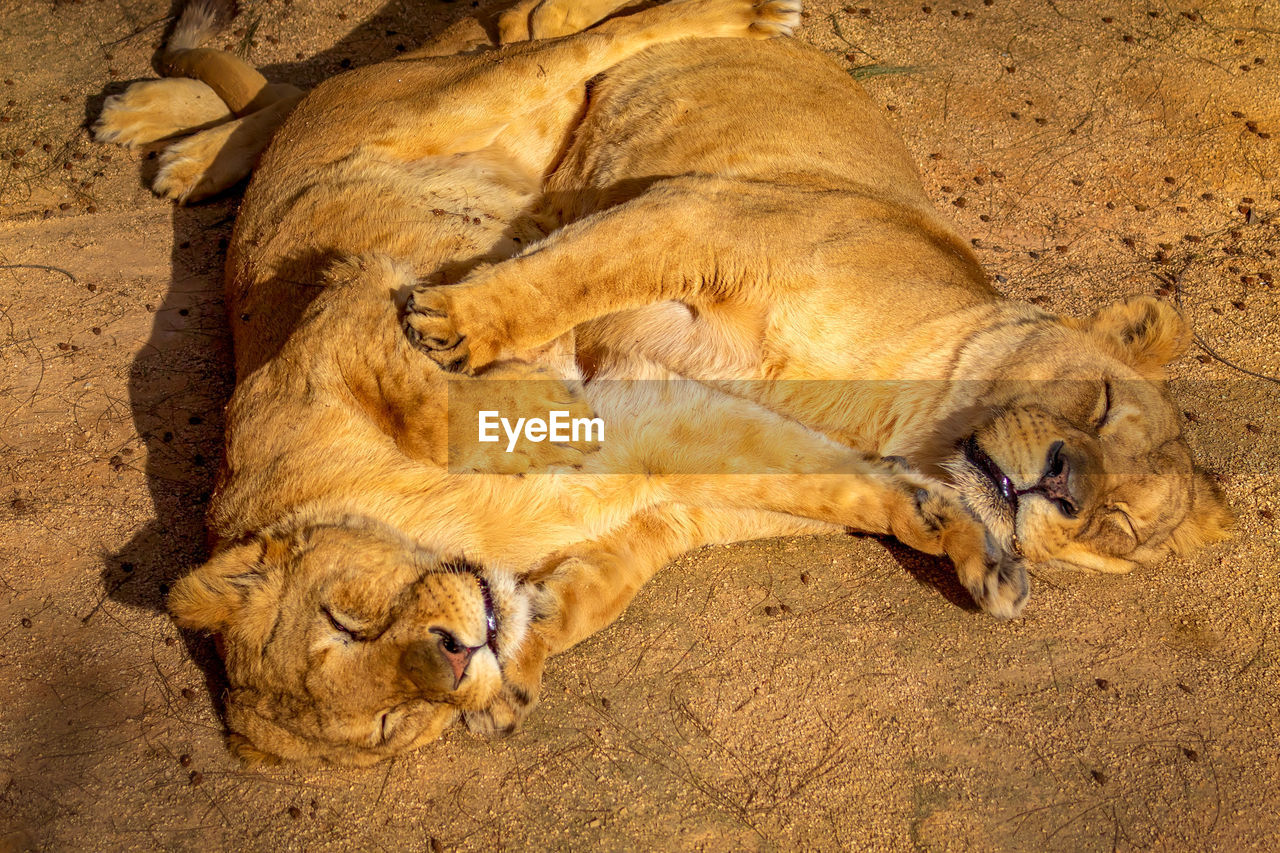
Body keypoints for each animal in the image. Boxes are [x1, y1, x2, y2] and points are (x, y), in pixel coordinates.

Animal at [94, 0, 1233, 763]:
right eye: (1097, 403)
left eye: (1116, 533)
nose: (1066, 486)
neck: (902, 414)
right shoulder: (696, 218)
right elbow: (552, 290)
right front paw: (457, 327)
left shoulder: (686, 458)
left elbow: (615, 573)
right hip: (473, 92)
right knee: (518, 31)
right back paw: (168, 136)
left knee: (391, 68)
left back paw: (178, 142)